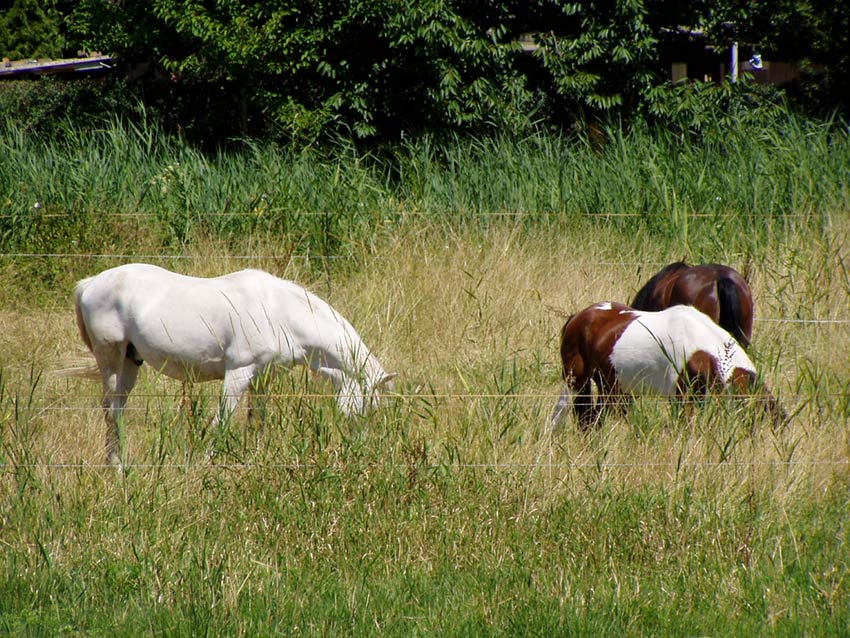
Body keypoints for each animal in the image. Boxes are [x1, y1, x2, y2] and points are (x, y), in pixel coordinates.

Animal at [74, 264, 396, 470]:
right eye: (368, 408)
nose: (359, 451)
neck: (280, 312)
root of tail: (90, 283)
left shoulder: (263, 378)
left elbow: (257, 423)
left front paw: (254, 461)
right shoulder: (238, 373)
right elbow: (222, 422)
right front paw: (207, 465)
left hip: (130, 362)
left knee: (116, 411)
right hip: (111, 358)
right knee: (111, 411)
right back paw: (117, 469)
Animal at [548, 302, 780, 432]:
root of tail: (578, 317)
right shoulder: (681, 399)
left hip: (613, 388)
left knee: (593, 420)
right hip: (576, 382)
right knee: (567, 417)